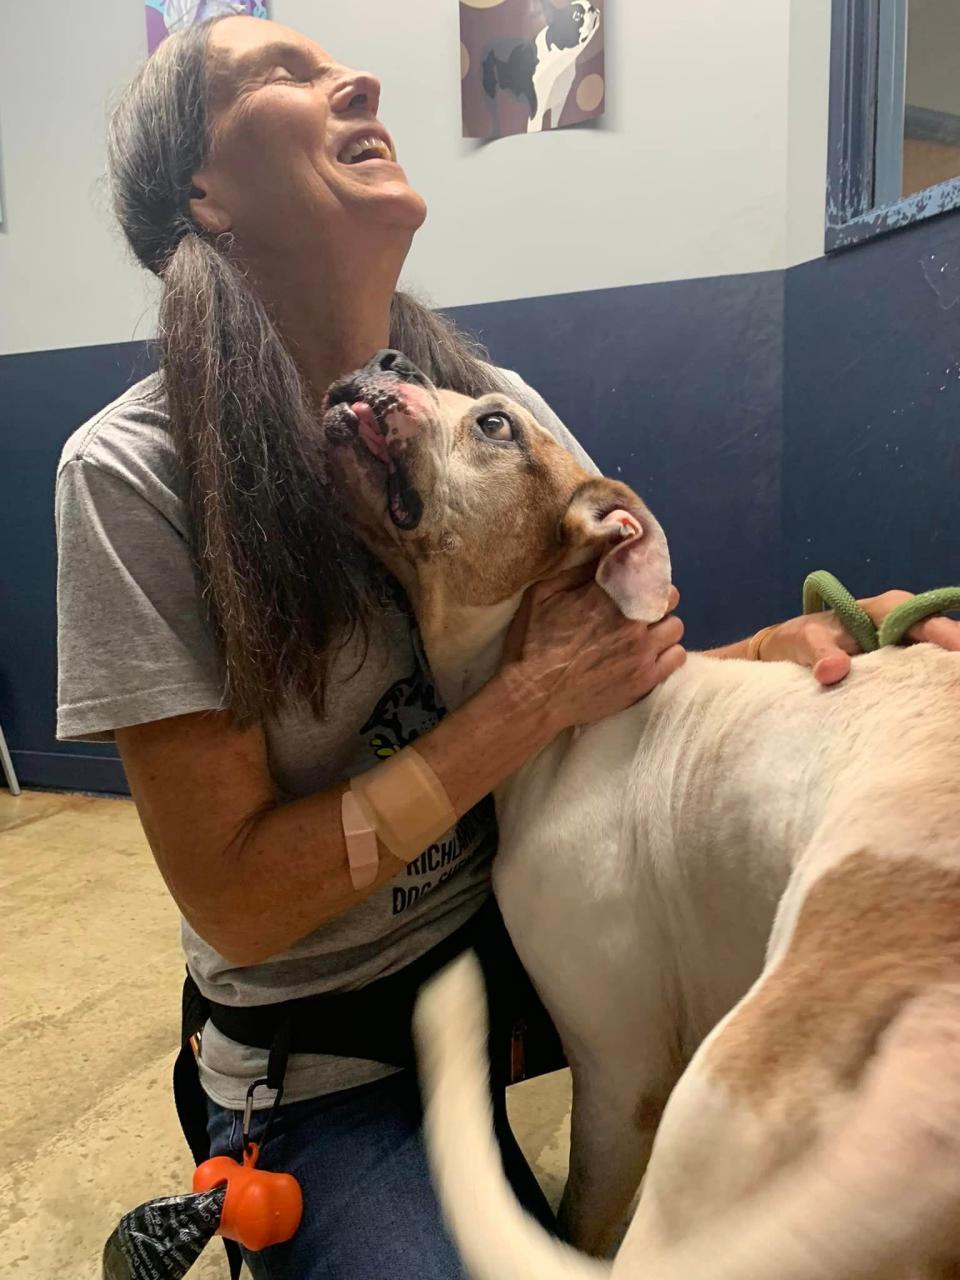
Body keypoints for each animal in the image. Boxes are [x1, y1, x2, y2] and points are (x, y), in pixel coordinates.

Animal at [327, 353, 960, 1280]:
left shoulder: (618, 1078)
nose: (387, 360)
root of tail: (932, 1042)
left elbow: (575, 1219)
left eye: (494, 424)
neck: (569, 728)